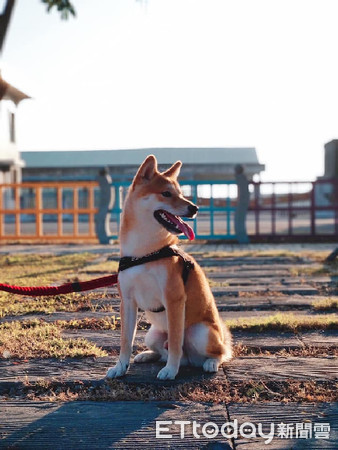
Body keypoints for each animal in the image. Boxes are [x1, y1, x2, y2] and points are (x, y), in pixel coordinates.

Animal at [106, 155, 232, 380]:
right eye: (166, 193)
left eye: (181, 194)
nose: (194, 208)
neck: (144, 252)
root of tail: (190, 360)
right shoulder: (127, 301)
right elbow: (125, 341)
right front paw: (120, 367)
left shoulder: (173, 299)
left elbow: (174, 342)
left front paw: (171, 371)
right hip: (152, 334)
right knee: (163, 350)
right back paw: (147, 355)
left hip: (200, 332)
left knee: (219, 352)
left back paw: (209, 363)